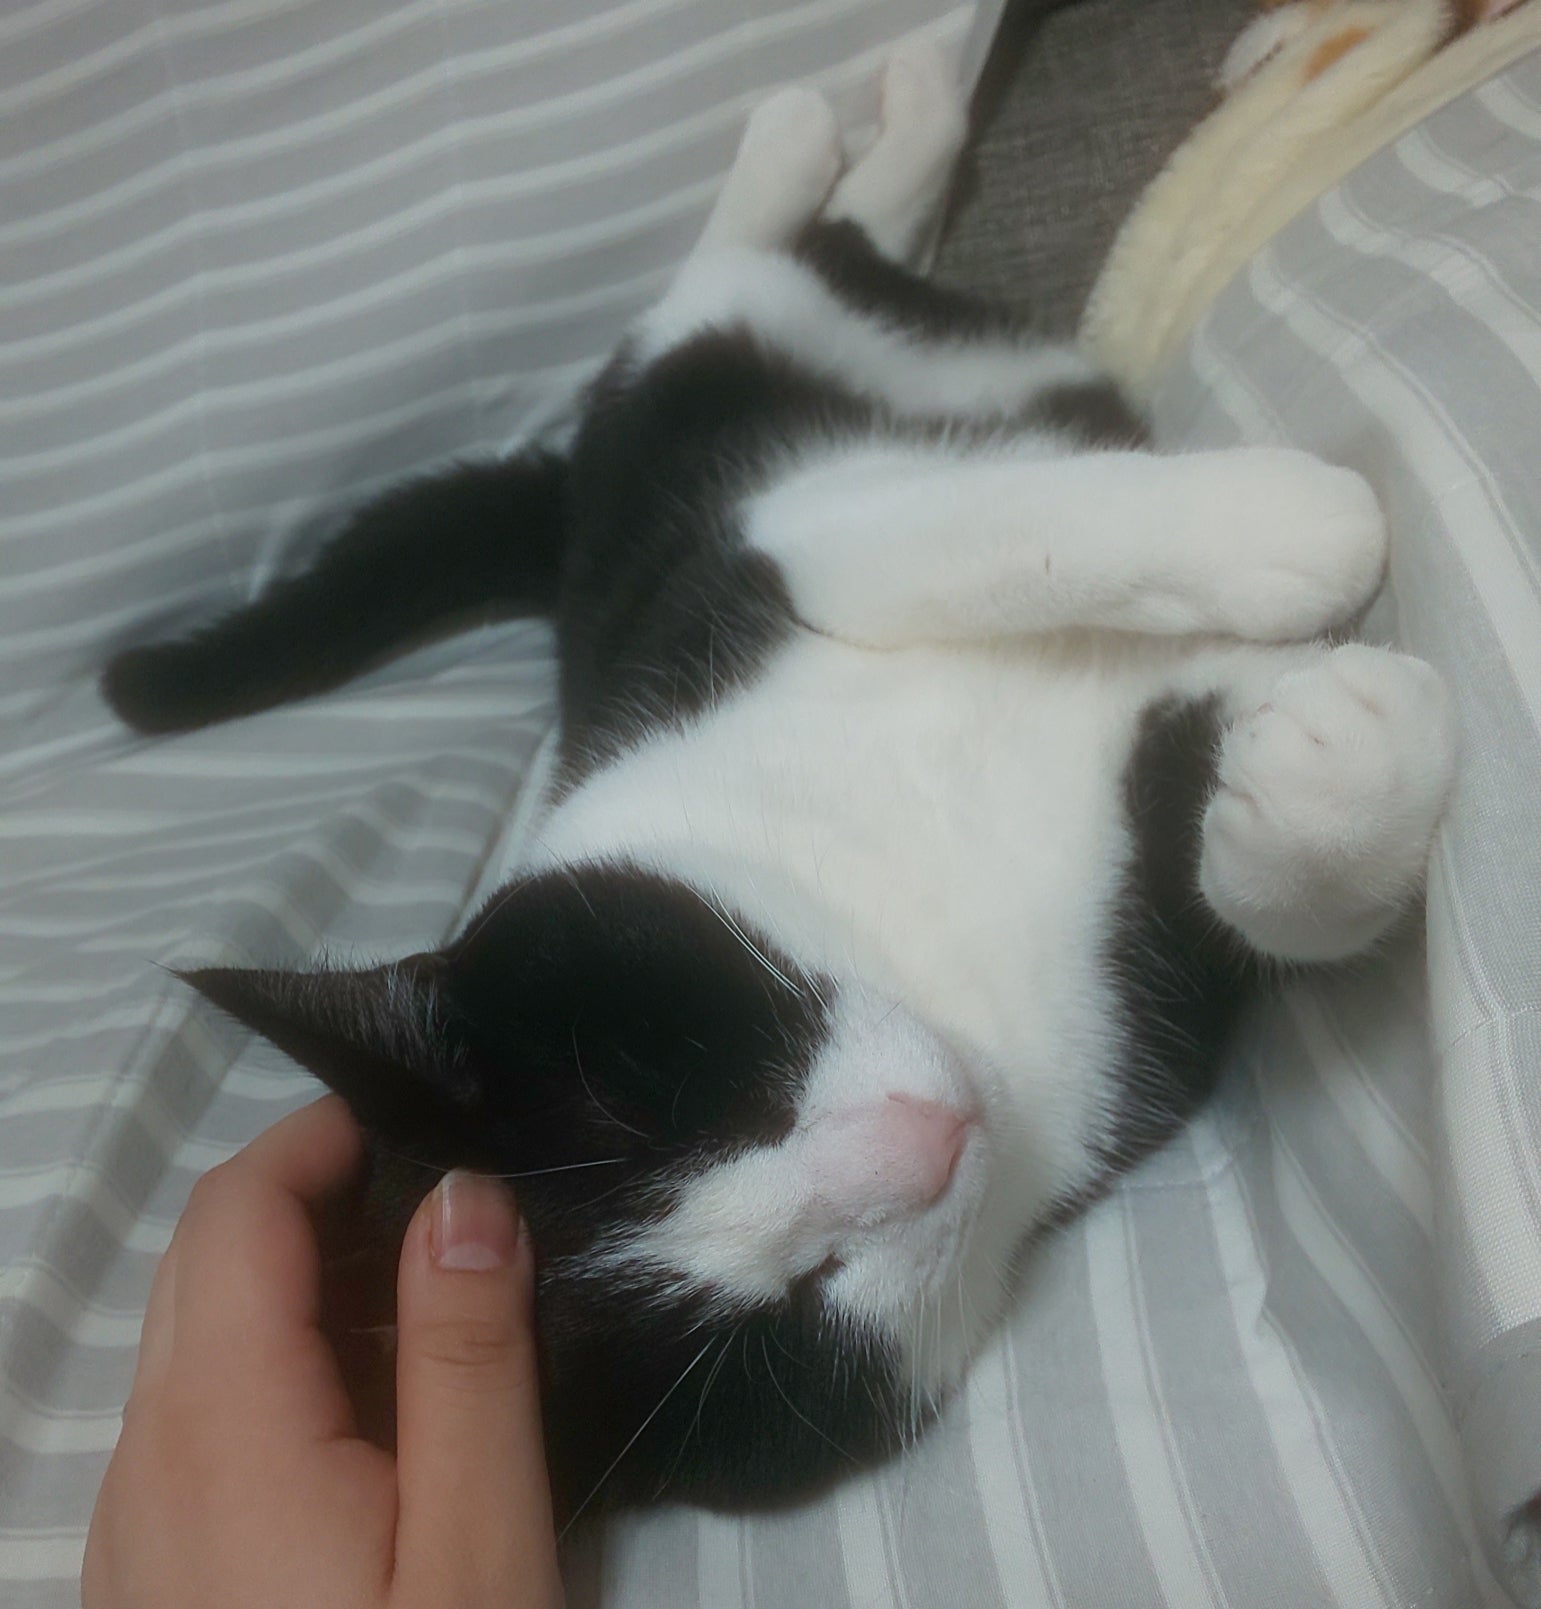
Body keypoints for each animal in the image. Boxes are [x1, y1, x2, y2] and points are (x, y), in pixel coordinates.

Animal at [102, 43, 1456, 1523]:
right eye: (789, 1311)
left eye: (659, 1079)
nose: (920, 1140)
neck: (923, 937)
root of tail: (569, 508)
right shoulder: (1145, 1009)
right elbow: (1248, 901)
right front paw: (1335, 761)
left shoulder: (785, 549)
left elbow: (986, 532)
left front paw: (1298, 533)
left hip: (707, 395)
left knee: (749, 281)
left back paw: (836, 129)